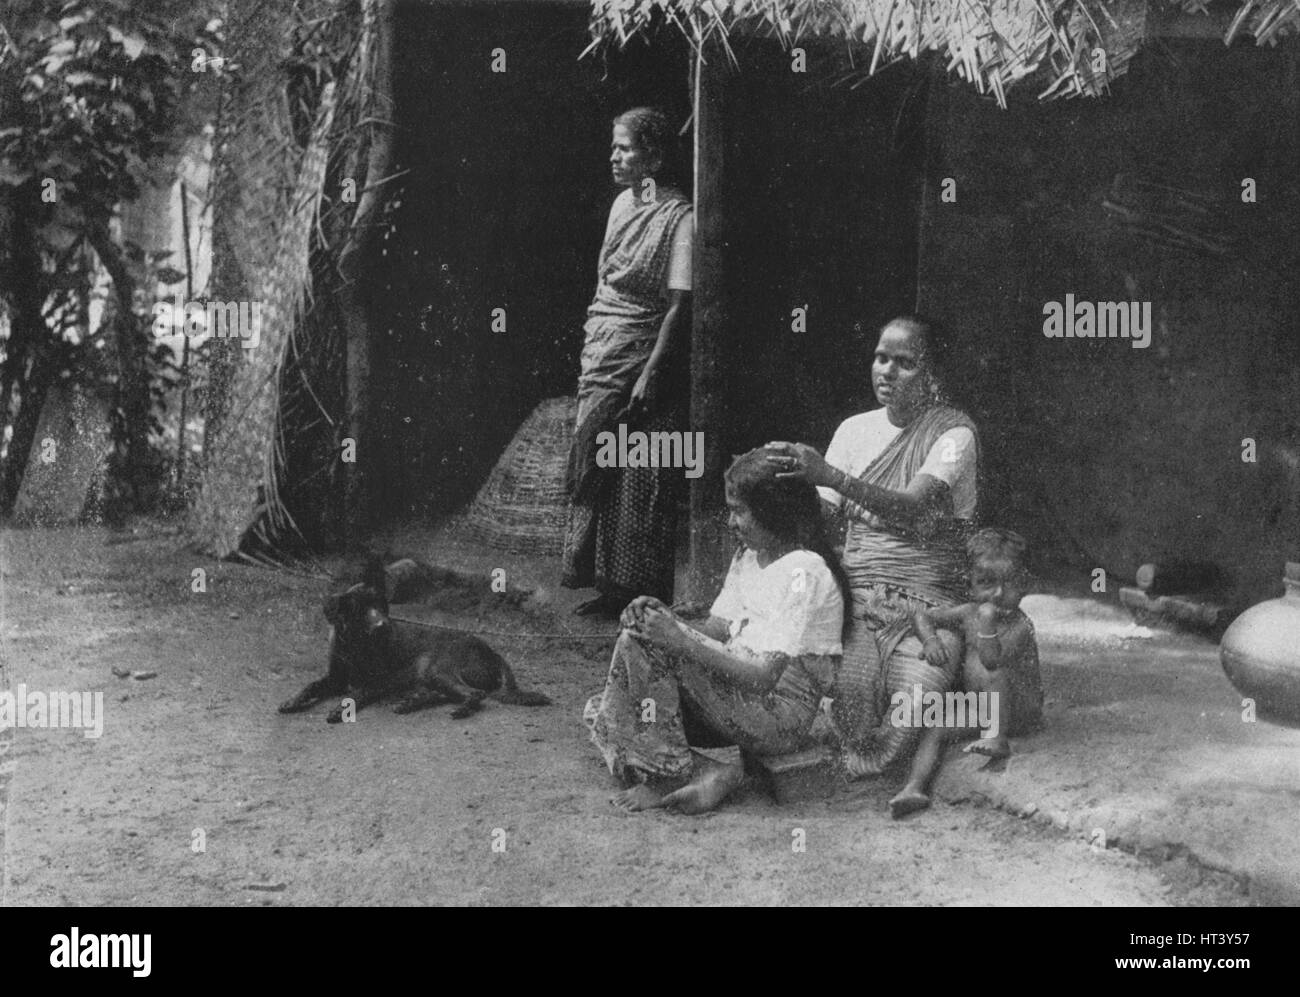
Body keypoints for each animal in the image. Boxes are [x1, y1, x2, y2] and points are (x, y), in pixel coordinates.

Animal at [279, 556, 548, 722]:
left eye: (380, 606)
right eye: (360, 610)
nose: (383, 625)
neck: (354, 645)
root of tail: (493, 652)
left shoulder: (380, 681)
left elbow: (358, 692)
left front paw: (340, 708)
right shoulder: (335, 678)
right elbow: (310, 685)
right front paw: (292, 700)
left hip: (435, 667)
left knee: (474, 694)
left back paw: (457, 709)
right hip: (429, 674)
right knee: (445, 693)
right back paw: (410, 703)